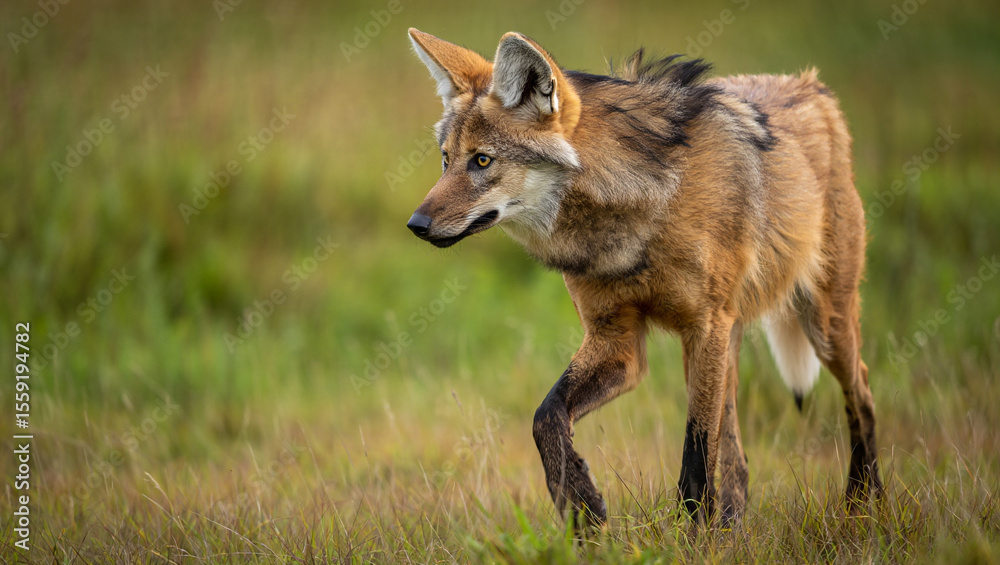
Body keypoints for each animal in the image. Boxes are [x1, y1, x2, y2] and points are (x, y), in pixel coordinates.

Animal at [404, 28, 882, 528]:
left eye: (482, 161)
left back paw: (862, 504)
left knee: (863, 395)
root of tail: (811, 86)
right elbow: (546, 416)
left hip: (821, 327)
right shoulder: (619, 342)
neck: (644, 211)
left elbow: (695, 459)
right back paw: (733, 526)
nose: (416, 224)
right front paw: (582, 507)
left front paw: (693, 538)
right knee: (737, 460)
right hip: (727, 348)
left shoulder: (703, 326)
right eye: (445, 160)